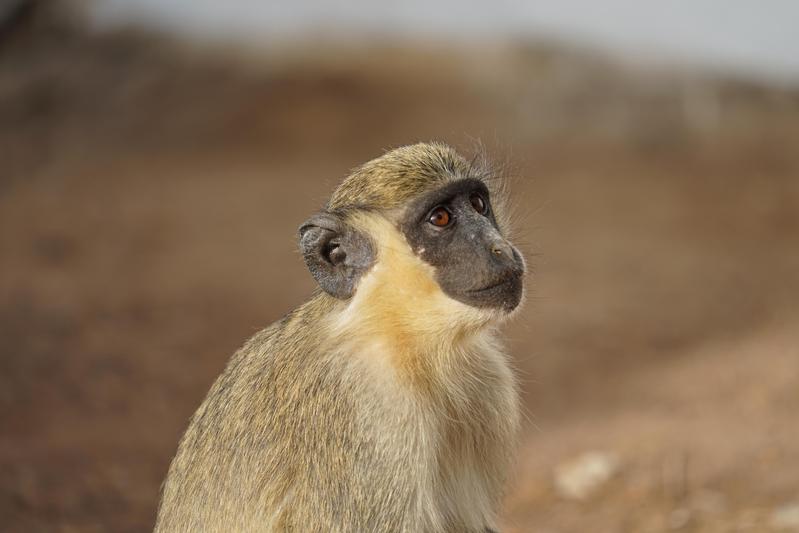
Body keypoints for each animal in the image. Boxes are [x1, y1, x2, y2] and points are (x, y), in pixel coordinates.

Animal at [155, 142, 528, 532]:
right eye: (440, 218)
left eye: (478, 205)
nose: (499, 248)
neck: (394, 332)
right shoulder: (371, 413)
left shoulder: (489, 378)